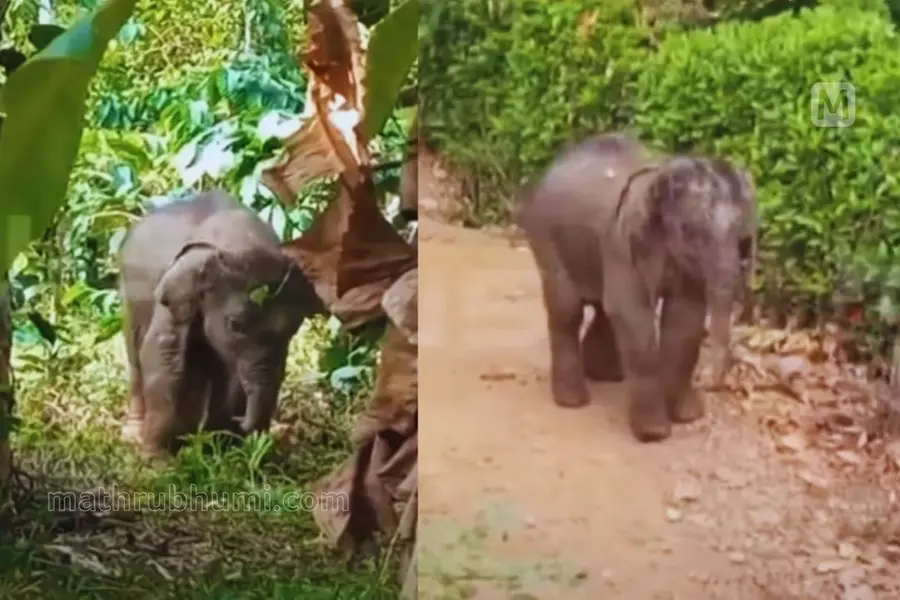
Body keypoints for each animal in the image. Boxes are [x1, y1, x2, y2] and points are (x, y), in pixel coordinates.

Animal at [118, 189, 325, 457]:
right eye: (235, 324)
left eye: (293, 328)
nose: (241, 422)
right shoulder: (172, 291)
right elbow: (164, 354)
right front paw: (157, 458)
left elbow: (233, 372)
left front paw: (227, 447)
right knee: (136, 353)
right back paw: (135, 433)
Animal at [515, 132, 757, 442]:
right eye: (690, 231)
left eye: (740, 231)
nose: (709, 383)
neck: (664, 171)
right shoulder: (623, 239)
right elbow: (632, 312)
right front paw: (654, 433)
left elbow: (685, 319)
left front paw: (686, 416)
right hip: (545, 235)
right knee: (568, 310)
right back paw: (572, 401)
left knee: (602, 306)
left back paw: (608, 376)